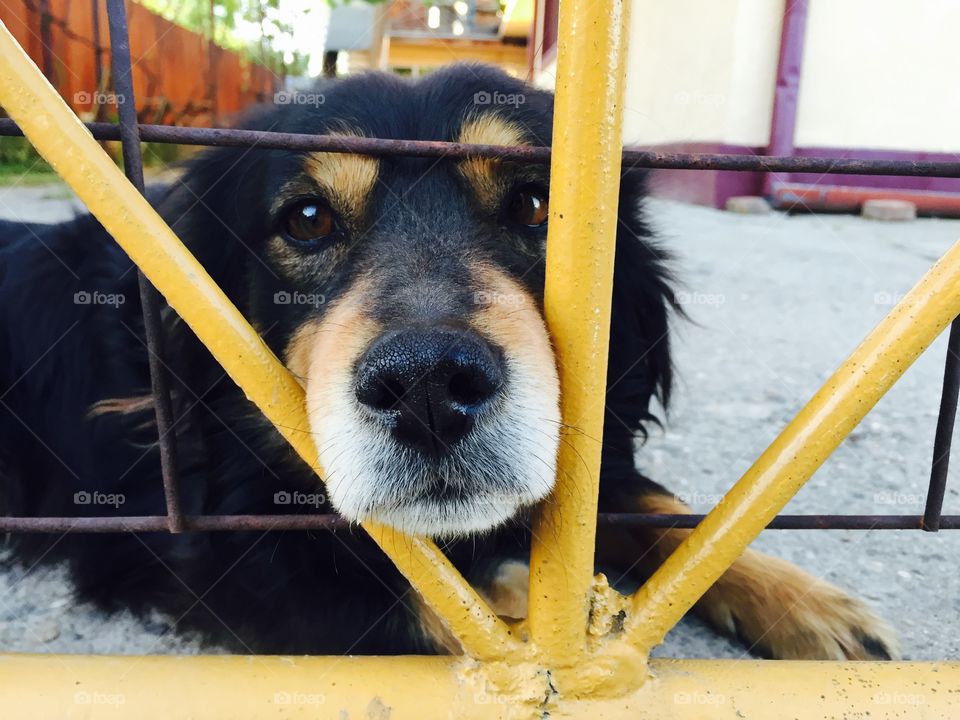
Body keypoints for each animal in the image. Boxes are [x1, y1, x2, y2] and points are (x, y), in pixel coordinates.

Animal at [1, 64, 900, 660]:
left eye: (537, 205)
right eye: (306, 219)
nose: (427, 388)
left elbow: (669, 511)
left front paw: (805, 603)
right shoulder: (198, 551)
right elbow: (447, 613)